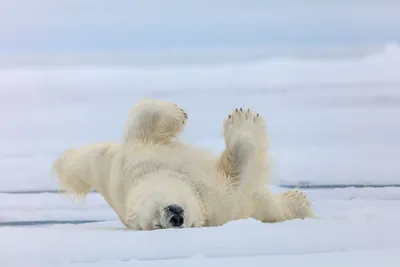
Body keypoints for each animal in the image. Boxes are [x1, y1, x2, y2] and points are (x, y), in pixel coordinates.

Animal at [52, 98, 316, 230]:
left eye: (157, 213)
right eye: (156, 225)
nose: (175, 218)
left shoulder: (129, 162)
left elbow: (142, 120)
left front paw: (177, 112)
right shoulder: (217, 200)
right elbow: (237, 172)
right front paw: (244, 121)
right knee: (268, 207)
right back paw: (299, 200)